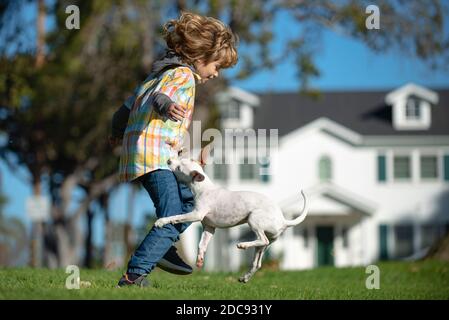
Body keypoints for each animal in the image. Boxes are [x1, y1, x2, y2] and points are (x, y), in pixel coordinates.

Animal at [155, 146, 308, 282]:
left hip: (254, 220)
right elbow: (201, 244)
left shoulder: (196, 214)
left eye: (179, 168)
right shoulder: (209, 228)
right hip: (265, 244)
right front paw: (199, 260)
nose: (168, 160)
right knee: (257, 262)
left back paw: (243, 245)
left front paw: (161, 221)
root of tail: (283, 221)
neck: (203, 188)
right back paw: (245, 277)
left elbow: (176, 217)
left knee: (262, 239)